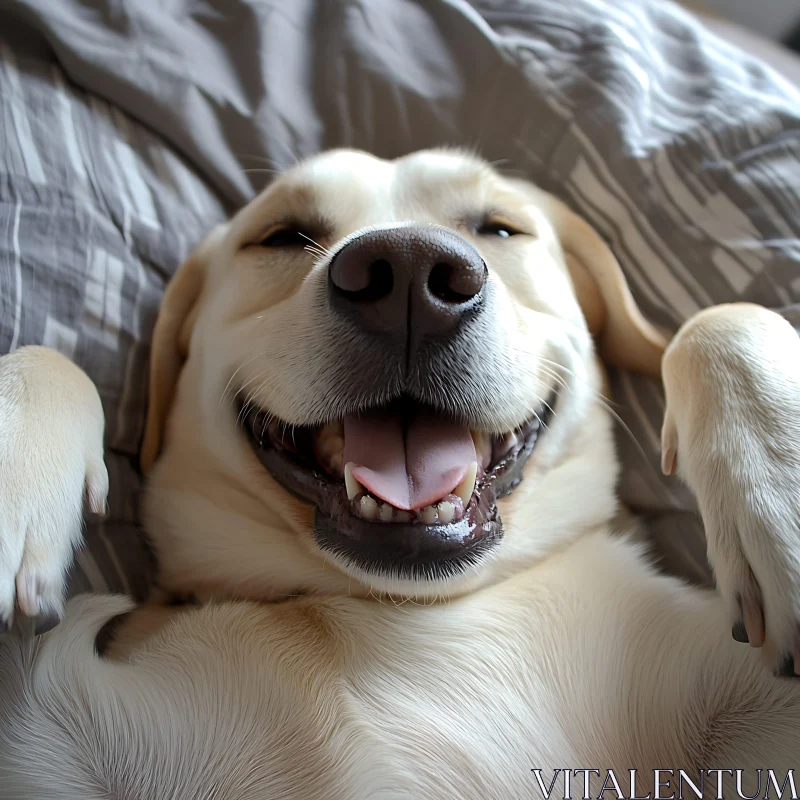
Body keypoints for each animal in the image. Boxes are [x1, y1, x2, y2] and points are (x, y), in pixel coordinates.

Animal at [0, 148, 796, 792]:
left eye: (500, 228)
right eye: (283, 235)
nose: (410, 271)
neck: (407, 614)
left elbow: (718, 317)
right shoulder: (49, 724)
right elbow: (49, 356)